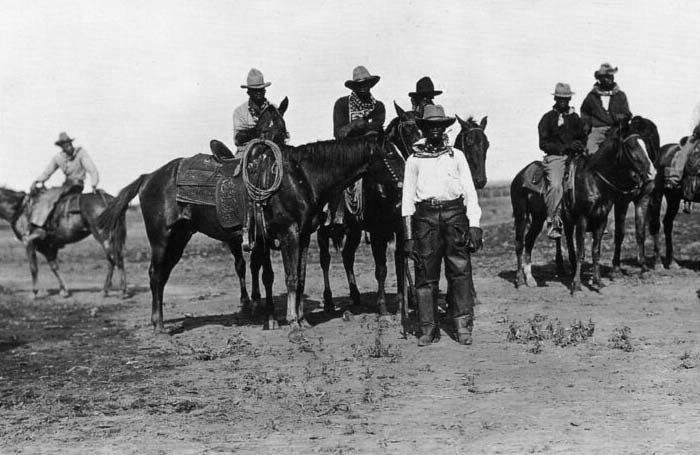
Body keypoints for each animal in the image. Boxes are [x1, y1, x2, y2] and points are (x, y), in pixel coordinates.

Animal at [314, 104, 490, 316]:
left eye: (486, 145)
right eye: (408, 128)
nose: (480, 180)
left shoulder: (401, 227)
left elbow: (400, 262)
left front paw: (401, 303)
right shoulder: (378, 232)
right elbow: (382, 268)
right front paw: (383, 308)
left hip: (355, 230)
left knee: (348, 255)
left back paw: (356, 296)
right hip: (324, 228)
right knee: (325, 258)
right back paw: (329, 301)